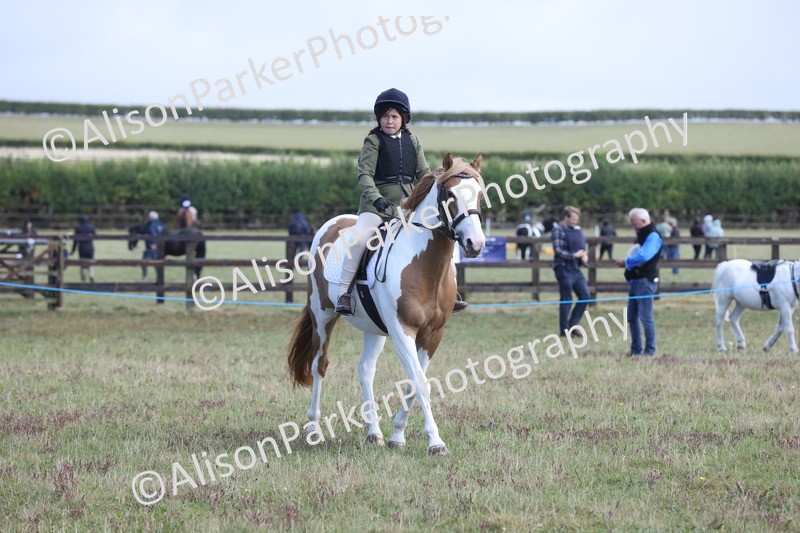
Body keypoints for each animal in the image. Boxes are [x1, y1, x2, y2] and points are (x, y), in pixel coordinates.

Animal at [287, 153, 487, 455]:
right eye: (450, 195)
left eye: (479, 195)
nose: (475, 243)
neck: (424, 264)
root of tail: (332, 223)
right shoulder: (402, 329)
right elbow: (420, 382)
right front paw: (436, 442)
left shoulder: (433, 334)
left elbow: (414, 383)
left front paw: (397, 436)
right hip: (322, 317)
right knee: (318, 365)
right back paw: (314, 427)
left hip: (374, 328)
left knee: (365, 370)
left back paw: (374, 432)